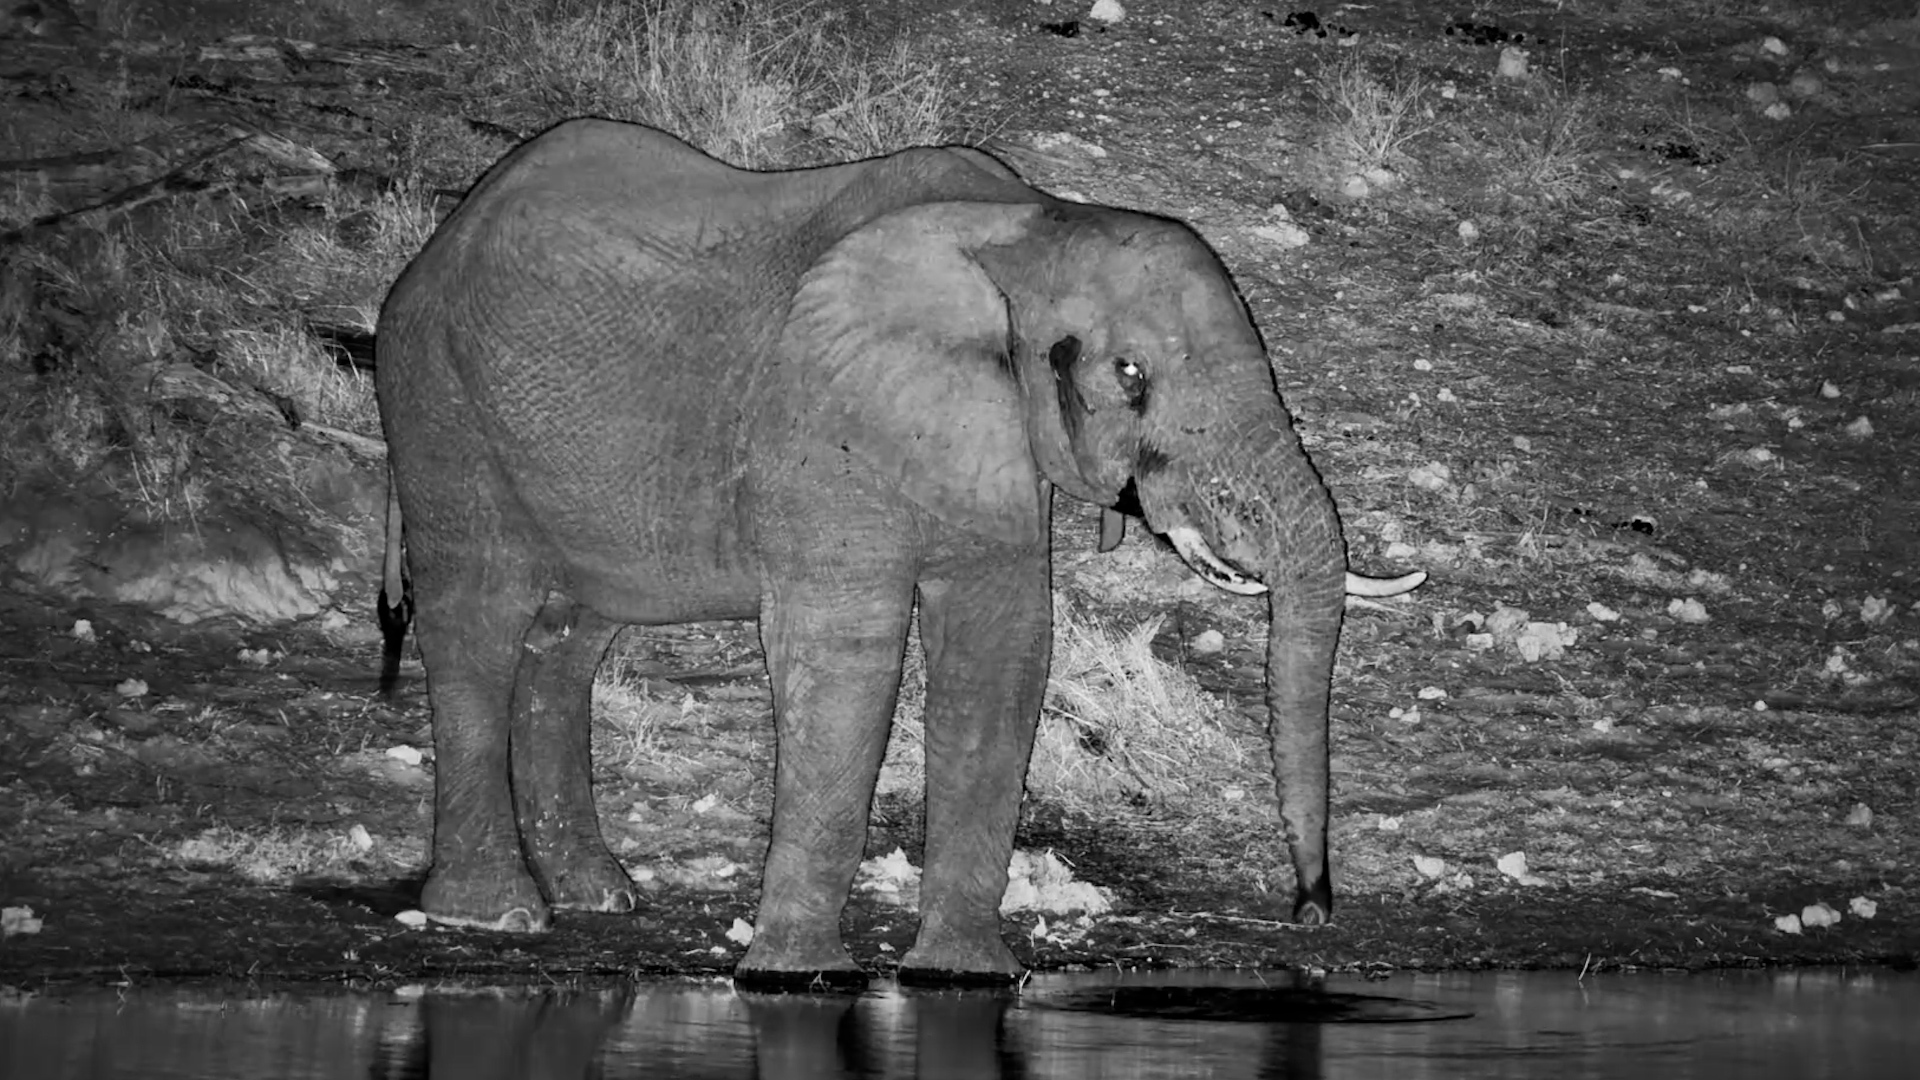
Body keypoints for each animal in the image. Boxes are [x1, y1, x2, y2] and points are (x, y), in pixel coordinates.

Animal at [373, 119, 1424, 988]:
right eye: (1130, 373)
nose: (1311, 911)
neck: (1028, 228)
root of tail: (439, 241)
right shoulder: (822, 409)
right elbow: (848, 656)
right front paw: (799, 979)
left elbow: (1005, 650)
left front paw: (965, 978)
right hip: (436, 399)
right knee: (478, 620)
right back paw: (496, 915)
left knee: (566, 640)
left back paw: (599, 895)